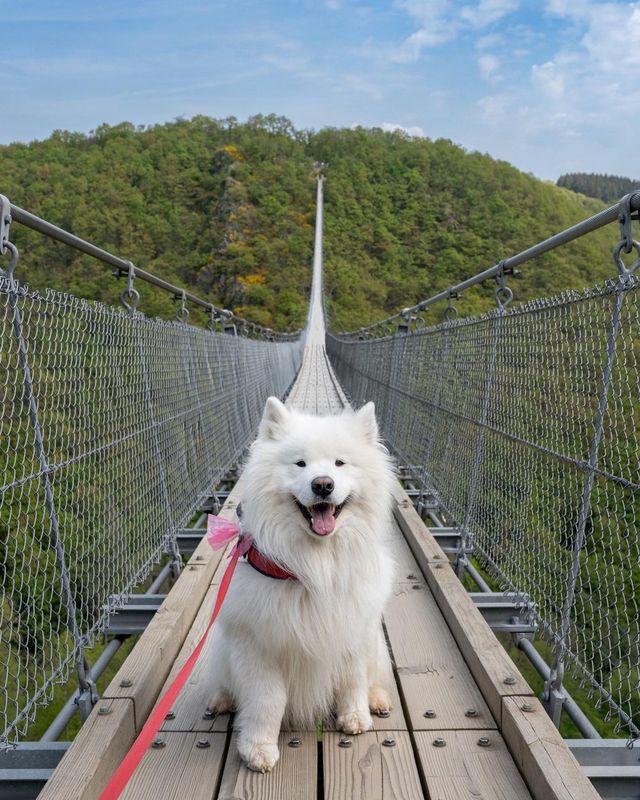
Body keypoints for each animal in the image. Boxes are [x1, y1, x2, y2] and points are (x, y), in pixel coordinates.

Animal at [206, 396, 396, 772]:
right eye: (300, 463)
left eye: (340, 463)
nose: (322, 484)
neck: (315, 567)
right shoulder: (257, 646)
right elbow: (267, 700)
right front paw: (258, 749)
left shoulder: (354, 632)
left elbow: (353, 679)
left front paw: (355, 717)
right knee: (225, 682)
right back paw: (222, 699)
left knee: (374, 676)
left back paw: (377, 700)